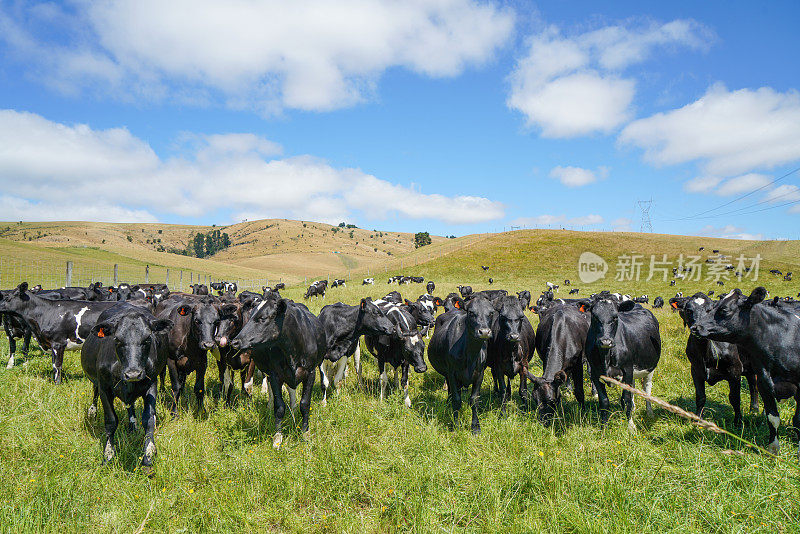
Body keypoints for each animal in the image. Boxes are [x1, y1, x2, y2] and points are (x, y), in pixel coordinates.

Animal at [80, 304, 173, 472]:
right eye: (116, 339)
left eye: (147, 338)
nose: (133, 373)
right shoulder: (104, 388)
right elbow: (111, 421)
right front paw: (108, 454)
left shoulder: (151, 384)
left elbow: (149, 419)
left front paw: (148, 455)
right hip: (96, 382)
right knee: (94, 392)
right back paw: (92, 412)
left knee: (130, 405)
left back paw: (132, 425)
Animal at [428, 298, 496, 436]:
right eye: (471, 312)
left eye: (491, 313)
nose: (484, 332)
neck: (470, 355)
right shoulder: (452, 373)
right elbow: (457, 399)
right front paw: (456, 426)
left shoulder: (479, 374)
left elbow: (474, 400)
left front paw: (475, 427)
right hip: (447, 372)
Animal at [580, 294, 664, 432]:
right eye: (595, 316)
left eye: (615, 317)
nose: (605, 341)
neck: (606, 356)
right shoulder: (595, 373)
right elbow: (604, 401)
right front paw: (604, 427)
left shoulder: (627, 370)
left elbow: (626, 399)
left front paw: (631, 426)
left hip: (649, 368)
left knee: (647, 388)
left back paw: (649, 412)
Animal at [688, 288, 800, 456]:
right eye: (714, 306)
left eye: (723, 309)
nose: (696, 328)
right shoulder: (764, 381)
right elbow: (772, 417)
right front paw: (773, 449)